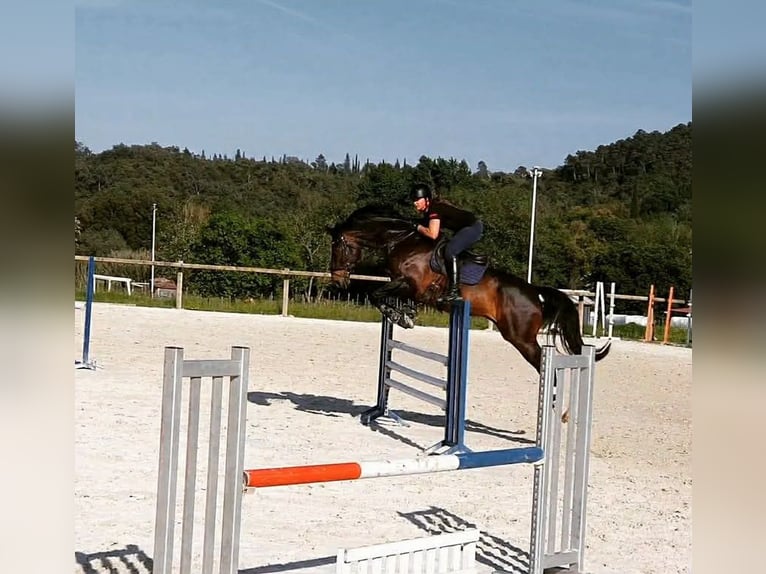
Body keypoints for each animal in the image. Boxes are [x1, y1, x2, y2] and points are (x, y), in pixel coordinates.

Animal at [328, 205, 611, 377]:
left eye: (338, 247)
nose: (338, 280)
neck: (402, 241)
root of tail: (534, 292)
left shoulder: (410, 284)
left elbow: (376, 294)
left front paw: (400, 316)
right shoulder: (405, 286)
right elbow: (386, 296)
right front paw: (405, 314)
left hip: (522, 338)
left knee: (544, 365)